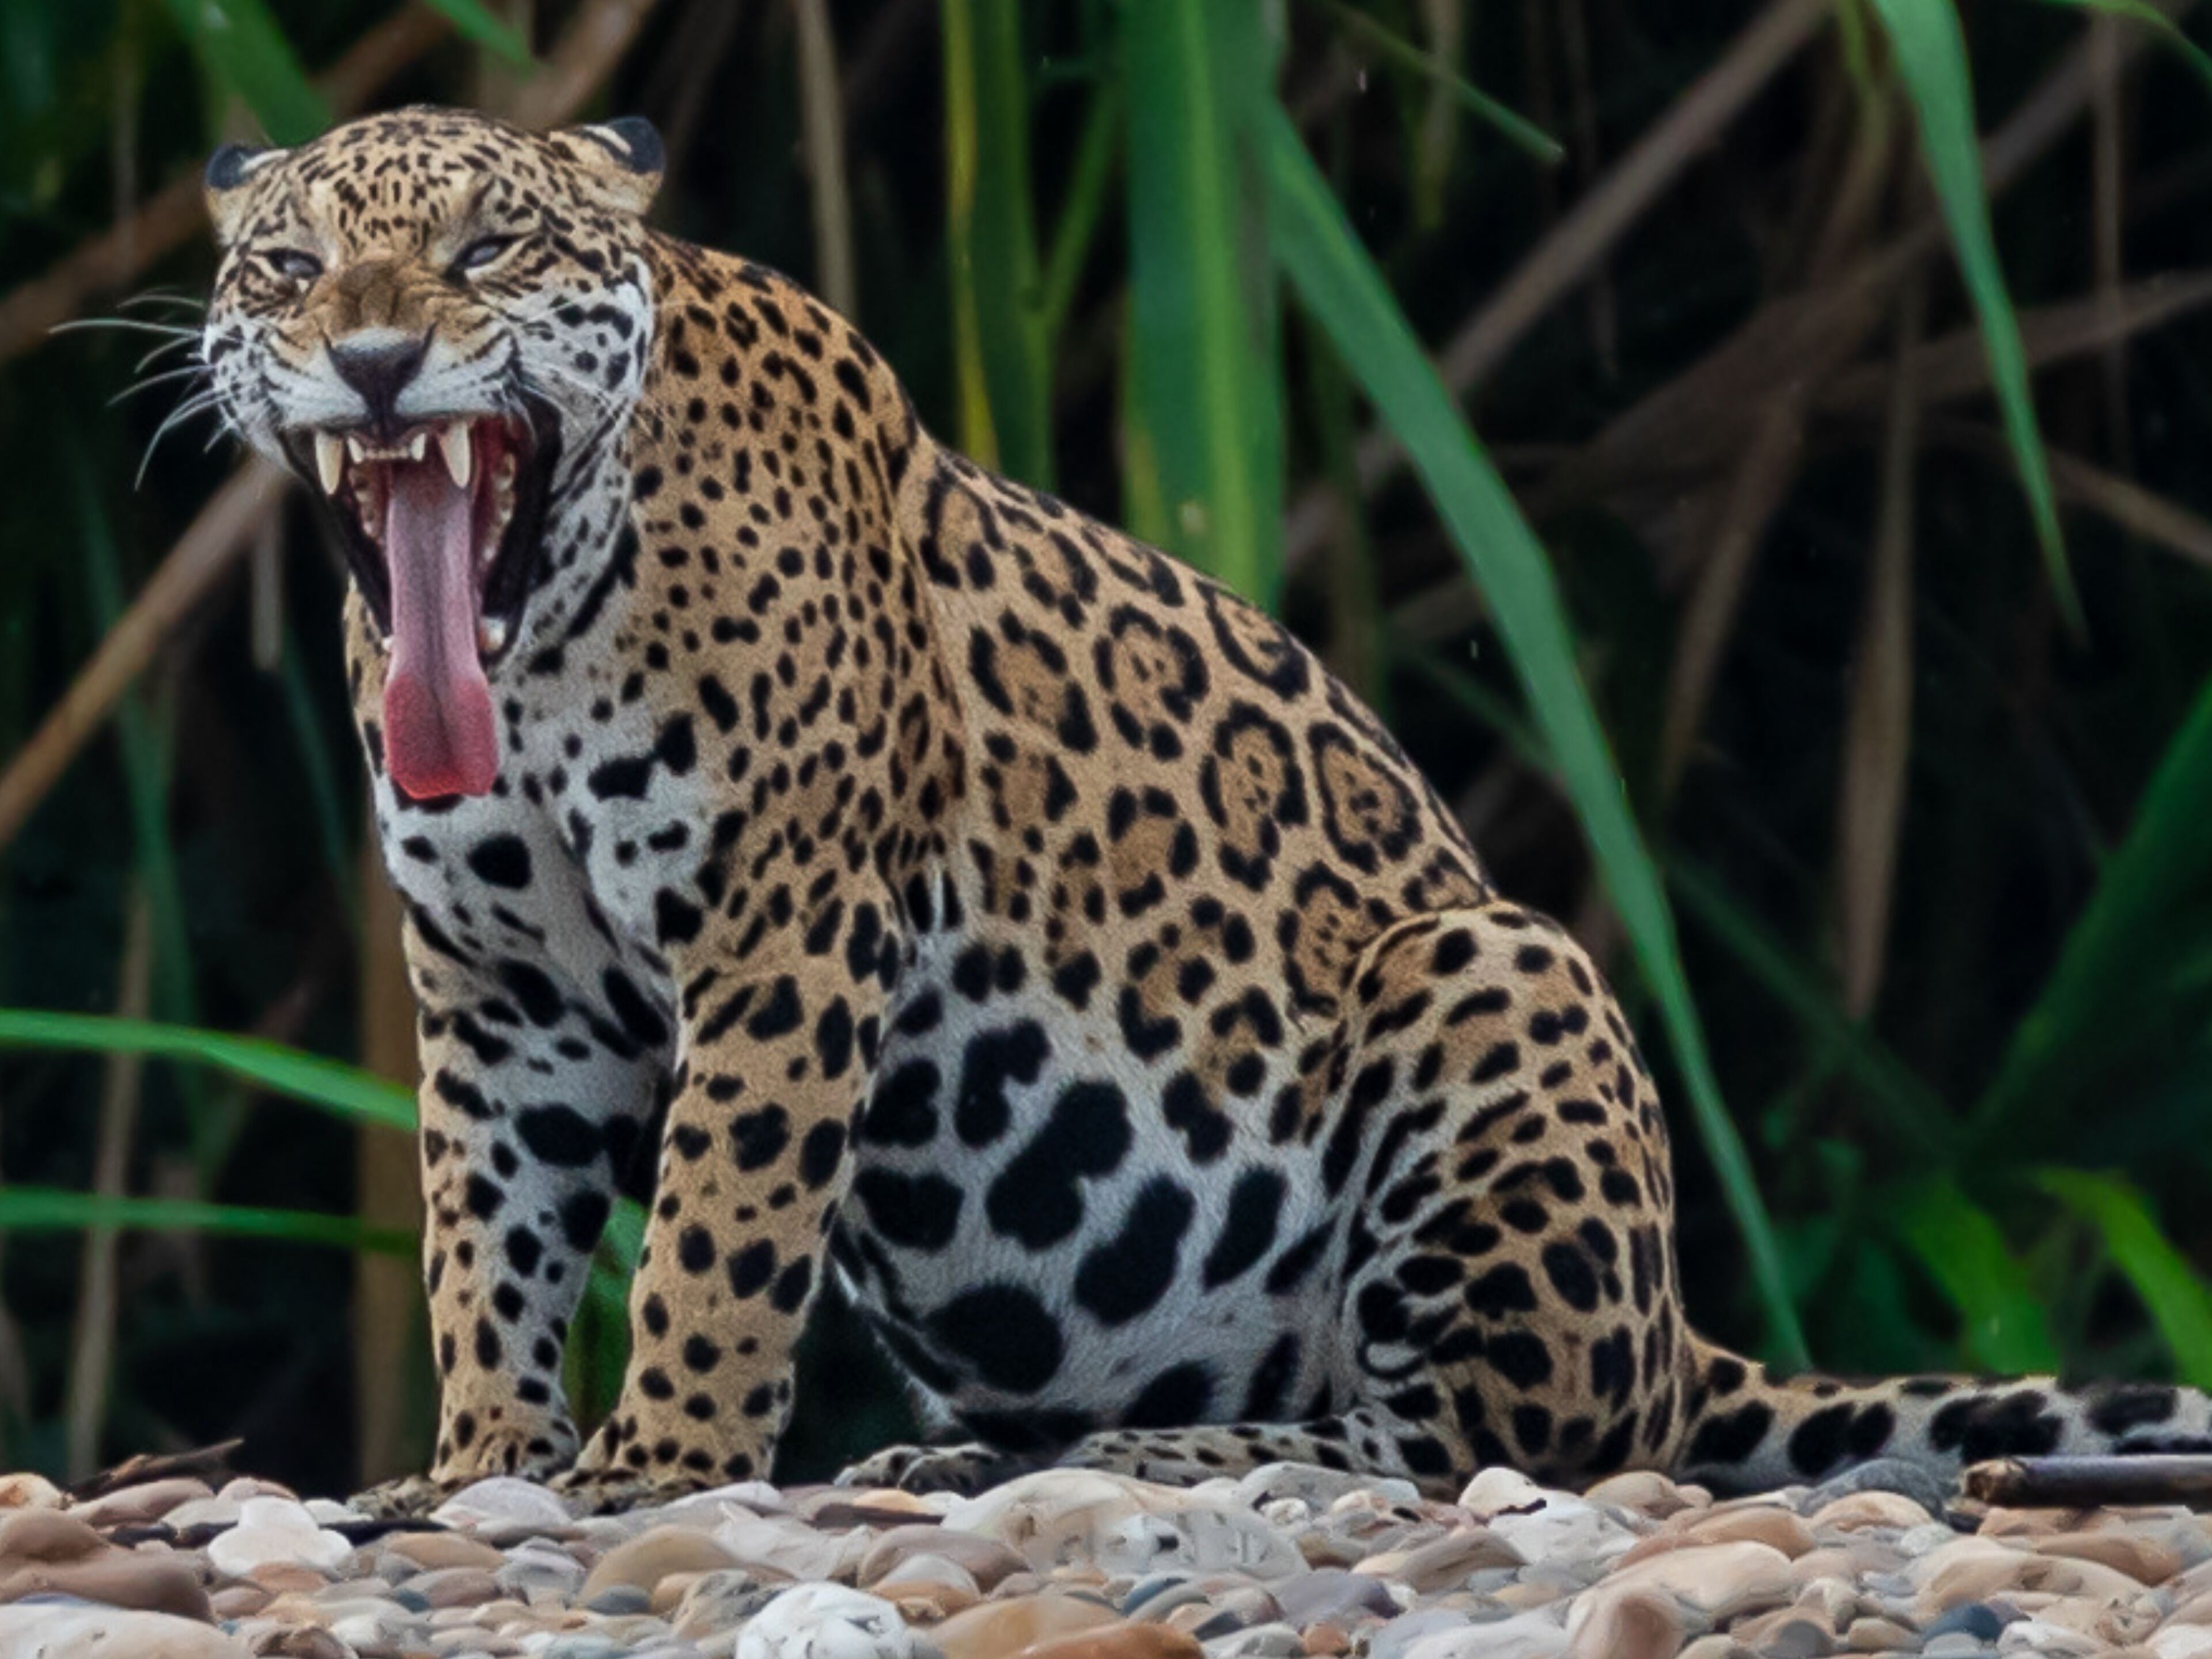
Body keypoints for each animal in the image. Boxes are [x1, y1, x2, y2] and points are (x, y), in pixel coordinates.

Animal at [198, 105, 2212, 1513]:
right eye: (289, 269)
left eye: (488, 248)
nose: (375, 362)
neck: (536, 642)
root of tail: (1675, 1331)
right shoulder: (498, 991)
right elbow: (485, 1233)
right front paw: (478, 1461)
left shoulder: (789, 938)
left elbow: (714, 1230)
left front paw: (662, 1462)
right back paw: (974, 1457)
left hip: (1496, 976)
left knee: (1473, 1442)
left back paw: (1152, 1463)